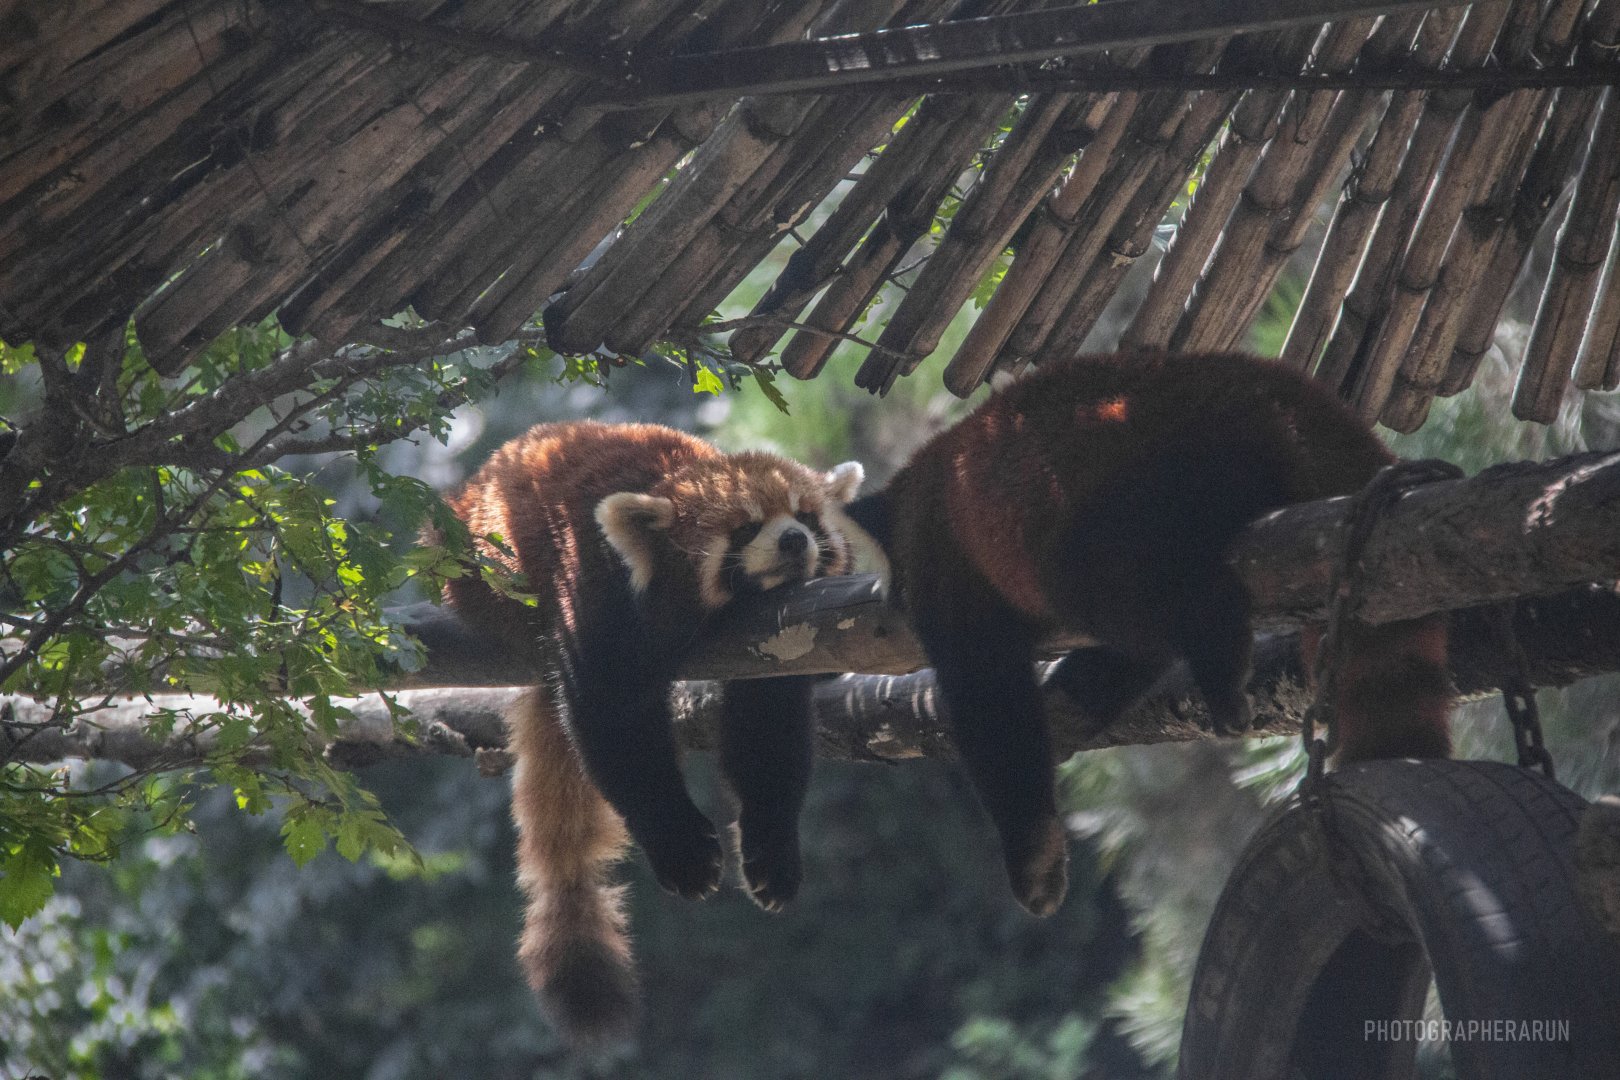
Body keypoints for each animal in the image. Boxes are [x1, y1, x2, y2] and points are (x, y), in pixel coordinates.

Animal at [436, 420, 869, 1042]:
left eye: (806, 517)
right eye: (745, 528)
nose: (793, 541)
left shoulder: (776, 641)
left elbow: (768, 737)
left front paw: (772, 851)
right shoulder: (596, 590)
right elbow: (618, 728)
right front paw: (683, 850)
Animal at [843, 352, 1451, 917]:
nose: (889, 604)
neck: (922, 492)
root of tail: (1299, 398)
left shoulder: (956, 579)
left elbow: (995, 713)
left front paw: (1034, 860)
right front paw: (1067, 710)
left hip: (1167, 473)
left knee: (1130, 588)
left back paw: (1219, 658)